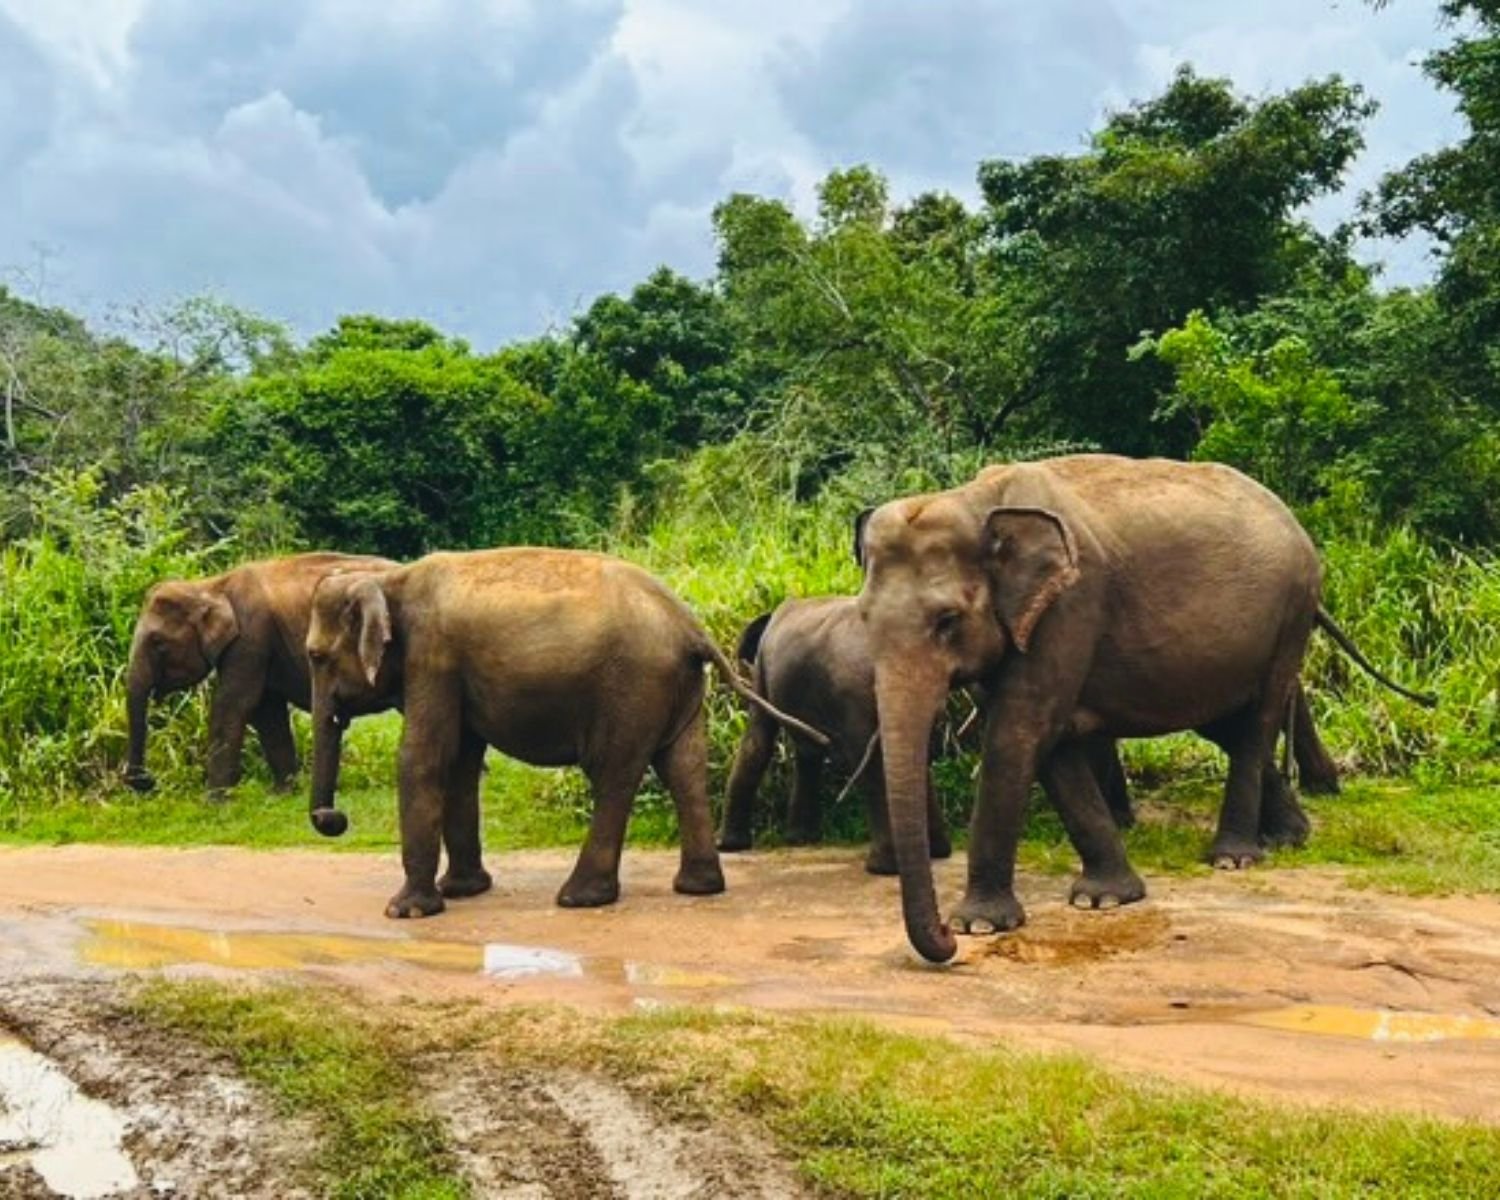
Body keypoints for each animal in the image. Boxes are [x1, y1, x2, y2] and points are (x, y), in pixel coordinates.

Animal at [124, 551, 396, 794]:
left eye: (157, 642)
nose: (148, 783)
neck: (211, 585)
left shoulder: (250, 637)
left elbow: (234, 704)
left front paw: (213, 800)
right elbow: (266, 710)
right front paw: (283, 792)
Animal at [304, 548, 829, 920]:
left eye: (316, 656)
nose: (333, 818)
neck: (387, 579)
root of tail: (691, 626)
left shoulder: (432, 658)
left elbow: (424, 757)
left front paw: (406, 912)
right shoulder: (450, 670)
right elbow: (461, 762)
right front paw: (464, 892)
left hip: (632, 688)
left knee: (615, 774)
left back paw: (580, 898)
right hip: (678, 688)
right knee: (683, 768)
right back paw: (698, 888)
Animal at [854, 454, 1433, 963]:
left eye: (947, 619)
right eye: (862, 618)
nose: (945, 940)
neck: (976, 500)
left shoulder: (1070, 604)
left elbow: (1019, 733)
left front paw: (980, 924)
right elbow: (1050, 744)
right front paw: (1104, 898)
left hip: (1292, 613)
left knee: (1258, 721)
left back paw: (1234, 858)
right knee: (1227, 725)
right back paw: (1289, 838)